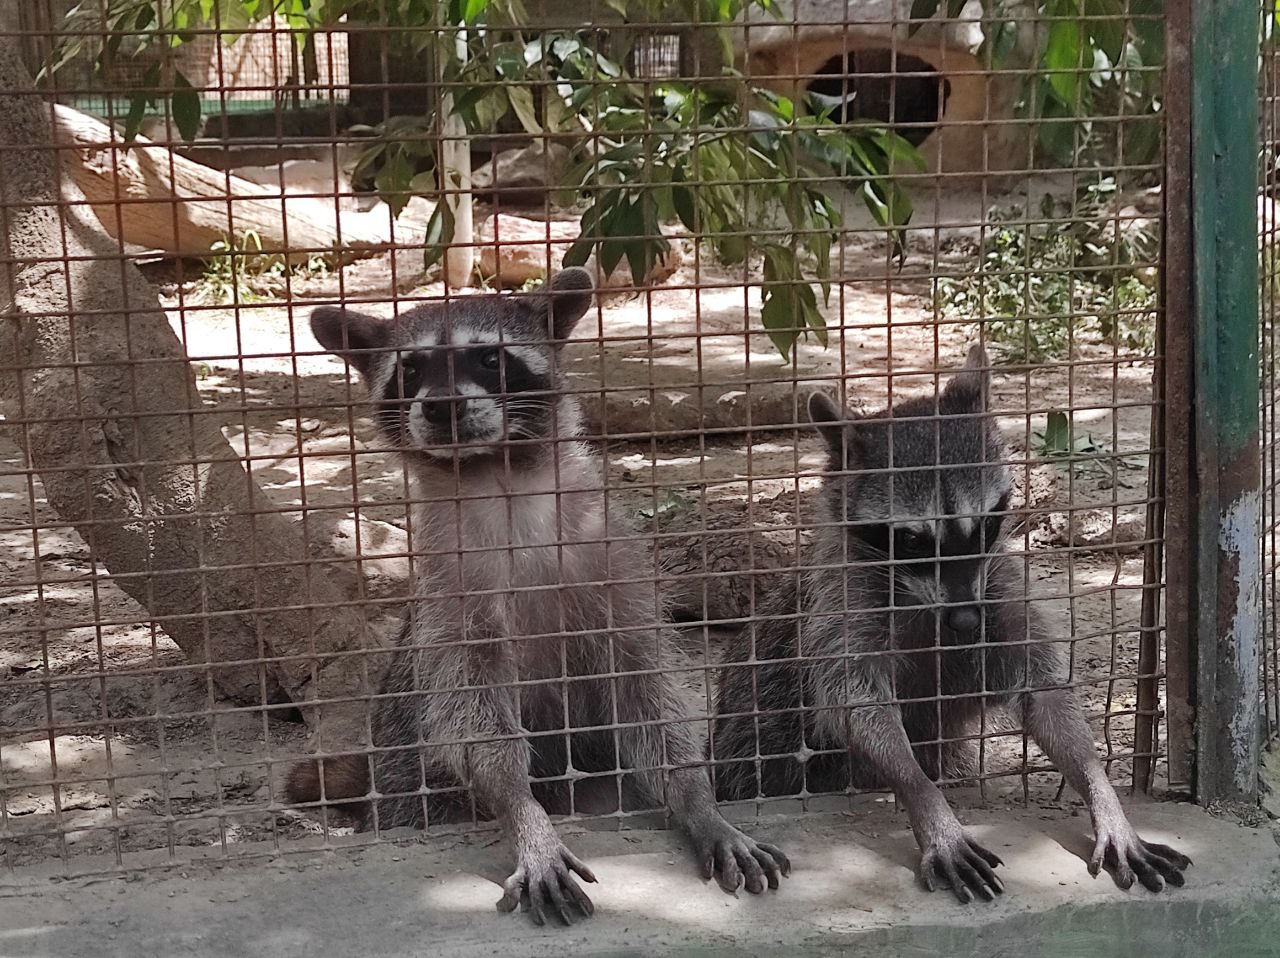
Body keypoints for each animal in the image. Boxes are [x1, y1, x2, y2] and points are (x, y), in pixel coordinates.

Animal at [291, 265, 788, 922]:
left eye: (488, 359)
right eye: (412, 370)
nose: (443, 406)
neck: (498, 477)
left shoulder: (613, 561)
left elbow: (649, 691)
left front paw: (695, 797)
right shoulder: (450, 591)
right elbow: (471, 716)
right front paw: (524, 812)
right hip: (409, 784)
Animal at [716, 348, 1192, 901]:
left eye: (982, 525)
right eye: (914, 541)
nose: (965, 619)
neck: (924, 599)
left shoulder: (1000, 592)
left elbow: (1046, 694)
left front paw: (1102, 793)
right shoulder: (842, 606)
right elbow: (854, 702)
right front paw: (926, 801)